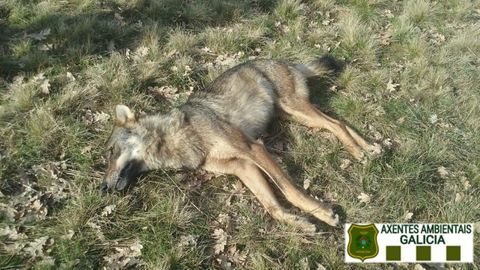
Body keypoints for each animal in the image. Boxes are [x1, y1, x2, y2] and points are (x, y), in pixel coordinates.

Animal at [102, 55, 382, 232]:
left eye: (112, 151)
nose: (102, 189)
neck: (176, 137)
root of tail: (287, 61)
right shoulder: (242, 167)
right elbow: (272, 207)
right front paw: (299, 223)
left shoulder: (254, 149)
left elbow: (289, 190)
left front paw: (322, 213)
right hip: (298, 116)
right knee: (337, 121)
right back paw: (370, 150)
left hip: (297, 110)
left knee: (336, 125)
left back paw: (358, 152)